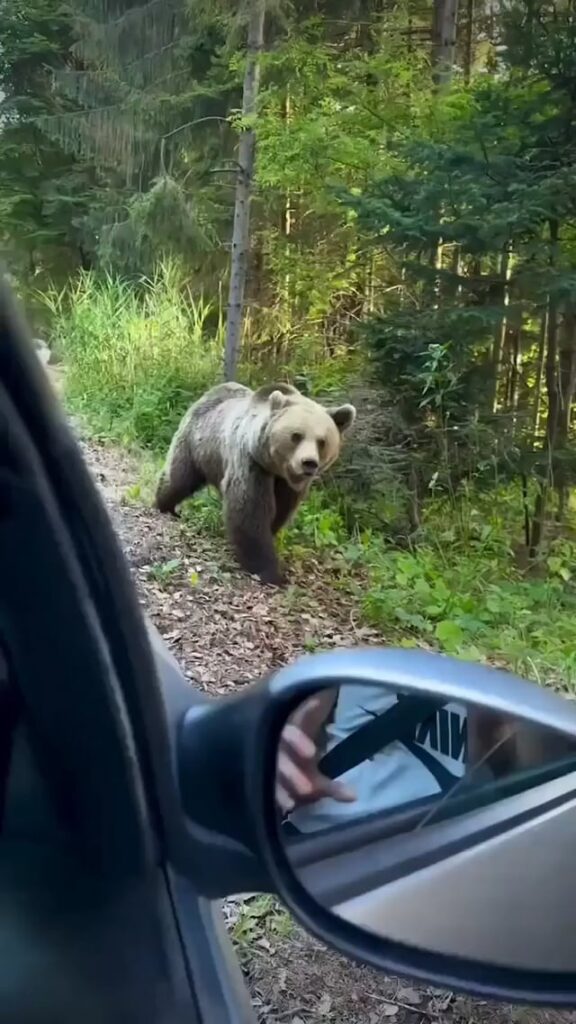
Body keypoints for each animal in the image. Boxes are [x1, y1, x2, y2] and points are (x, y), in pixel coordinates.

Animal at [154, 380, 356, 585]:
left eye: (322, 441)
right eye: (296, 435)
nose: (309, 463)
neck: (276, 468)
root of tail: (212, 392)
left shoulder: (288, 486)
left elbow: (280, 511)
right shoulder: (251, 463)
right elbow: (250, 511)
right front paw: (269, 570)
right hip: (197, 443)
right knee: (179, 477)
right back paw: (165, 506)